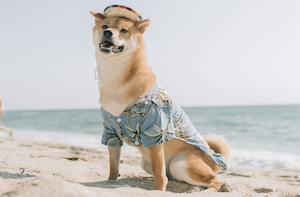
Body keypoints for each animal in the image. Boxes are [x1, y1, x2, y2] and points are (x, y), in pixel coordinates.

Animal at [90, 5, 231, 192]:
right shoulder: (111, 132)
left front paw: (158, 190)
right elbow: (113, 167)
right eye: (105, 26)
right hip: (148, 163)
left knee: (216, 181)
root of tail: (214, 161)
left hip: (180, 163)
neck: (117, 78)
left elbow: (159, 173)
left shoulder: (155, 131)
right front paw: (110, 182)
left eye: (124, 30)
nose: (107, 33)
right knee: (171, 175)